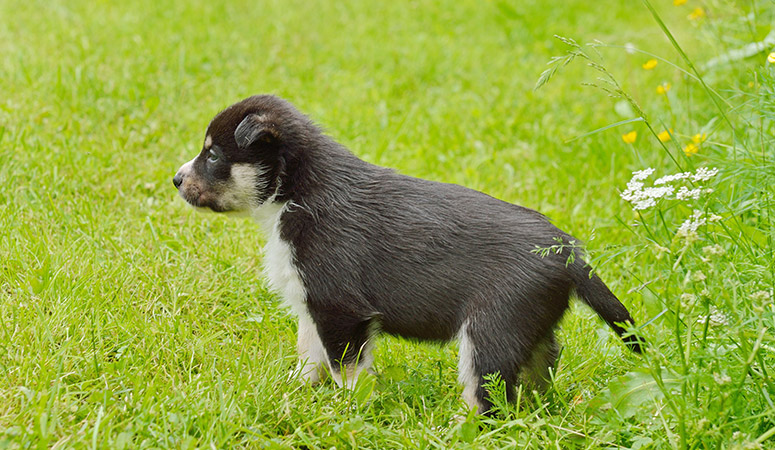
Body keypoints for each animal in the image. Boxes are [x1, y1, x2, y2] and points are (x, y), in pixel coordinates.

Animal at [173, 95, 644, 414]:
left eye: (213, 154)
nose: (175, 179)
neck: (296, 193)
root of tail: (570, 252)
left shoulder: (341, 309)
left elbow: (347, 370)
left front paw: (350, 410)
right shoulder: (312, 304)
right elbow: (310, 355)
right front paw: (294, 392)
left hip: (491, 328)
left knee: (487, 393)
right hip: (530, 328)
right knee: (539, 371)